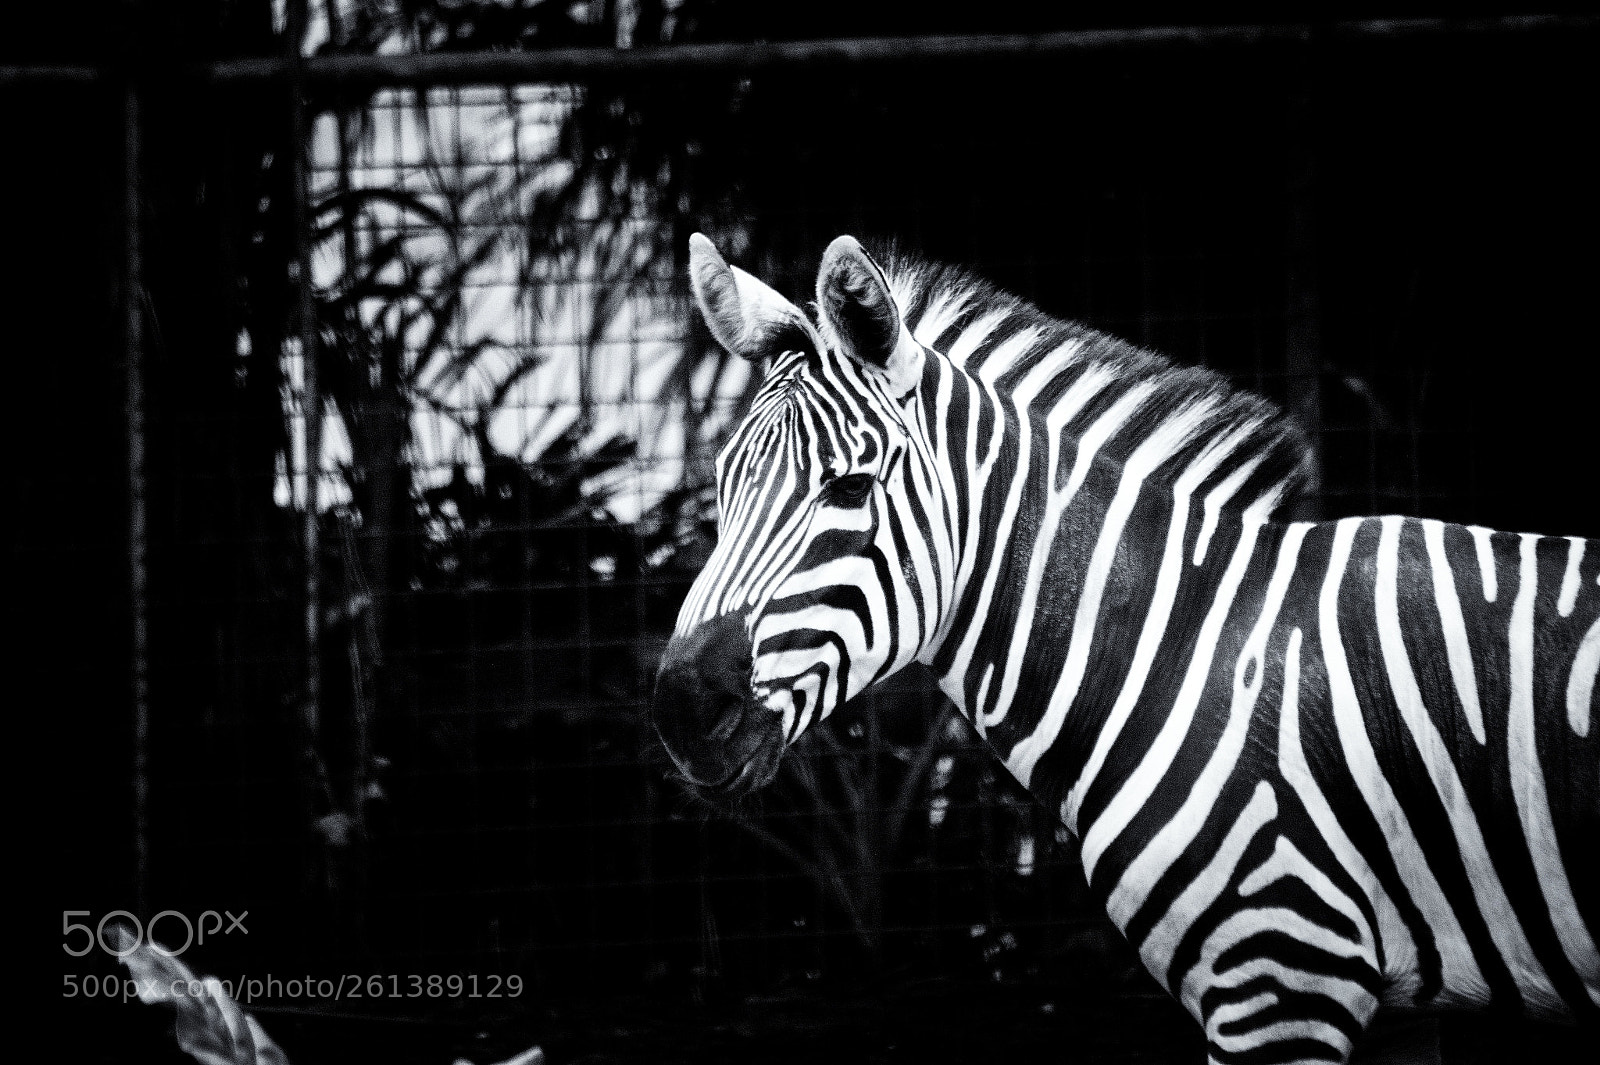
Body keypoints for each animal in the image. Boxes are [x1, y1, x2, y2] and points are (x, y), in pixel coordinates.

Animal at [650, 232, 1599, 1064]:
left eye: (849, 487)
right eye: (722, 485)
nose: (683, 711)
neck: (1188, 646)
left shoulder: (1279, 976)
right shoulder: (1388, 1005)